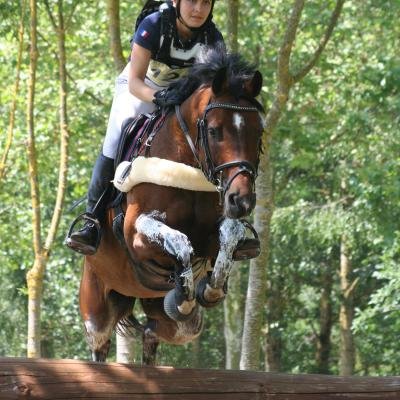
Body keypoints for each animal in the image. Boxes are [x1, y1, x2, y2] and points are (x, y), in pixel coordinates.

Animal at [79, 47, 265, 365]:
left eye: (258, 132)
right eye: (214, 131)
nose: (241, 200)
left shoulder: (214, 232)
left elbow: (227, 238)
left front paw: (207, 290)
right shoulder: (136, 232)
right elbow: (180, 242)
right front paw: (185, 292)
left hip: (176, 324)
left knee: (154, 331)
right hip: (97, 306)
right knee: (100, 344)